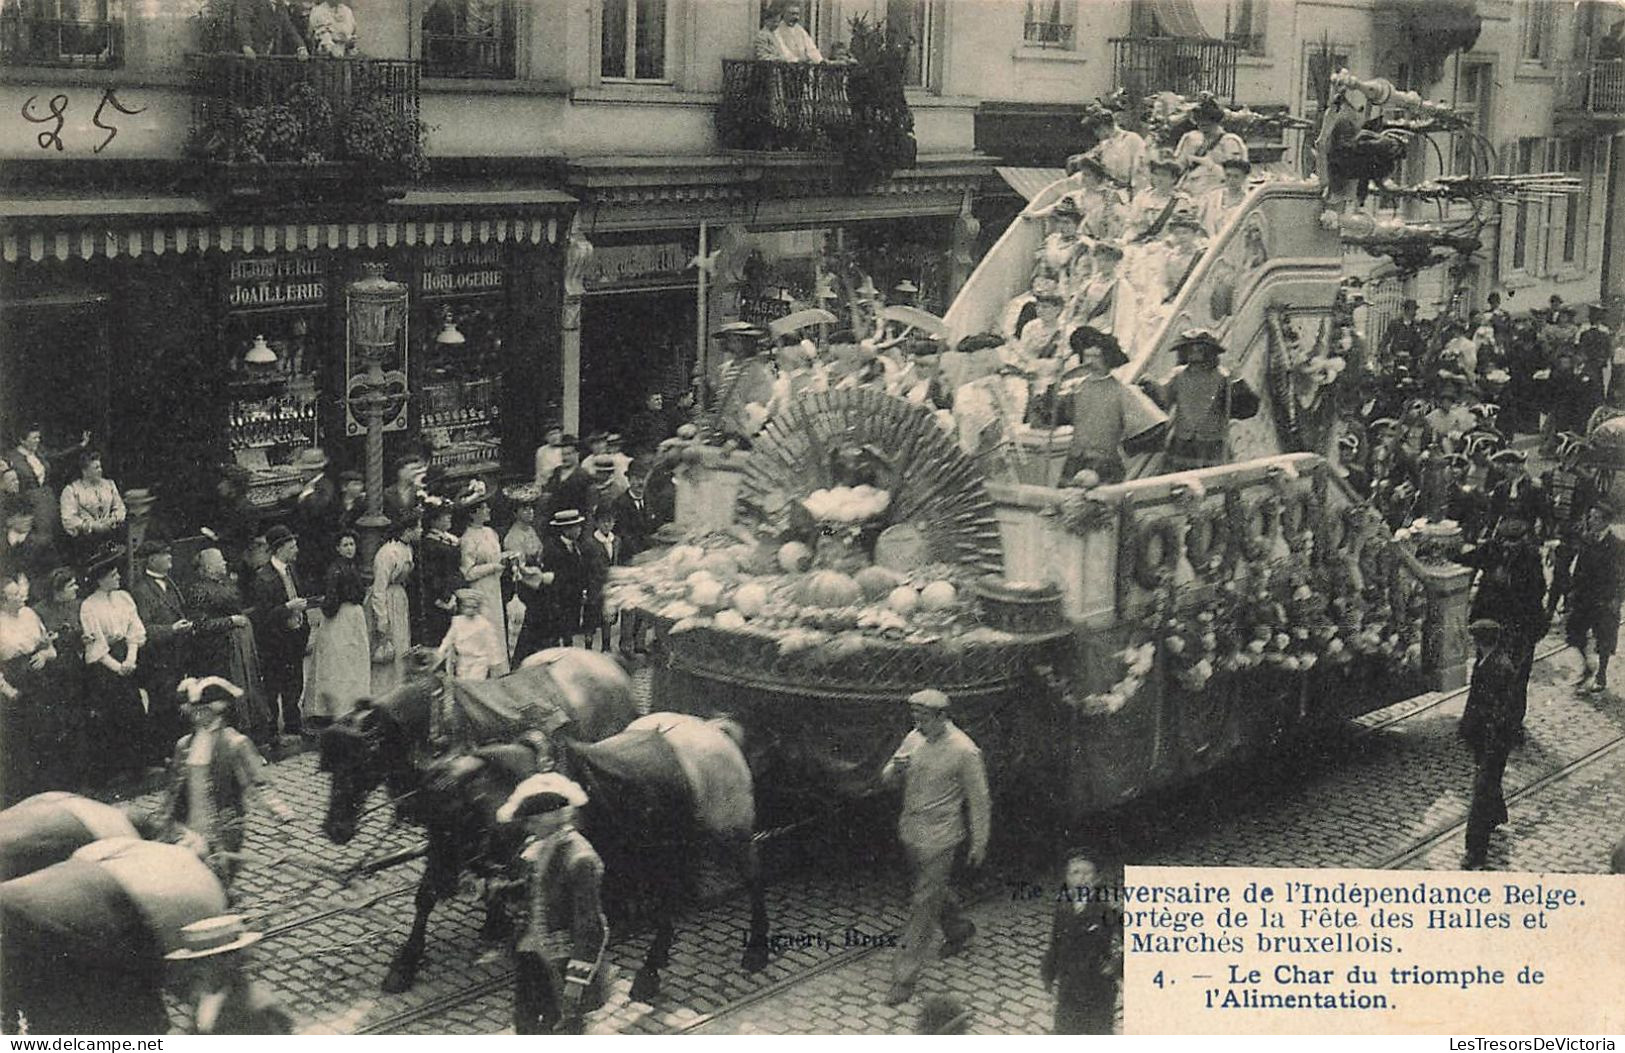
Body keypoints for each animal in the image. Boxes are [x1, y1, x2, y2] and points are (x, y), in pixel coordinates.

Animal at [323, 646, 773, 1001]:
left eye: (360, 760)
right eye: (329, 766)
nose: (335, 830)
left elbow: (441, 890)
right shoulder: (452, 840)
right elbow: (429, 894)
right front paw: (413, 959)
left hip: (722, 830)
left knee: (747, 873)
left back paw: (750, 946)